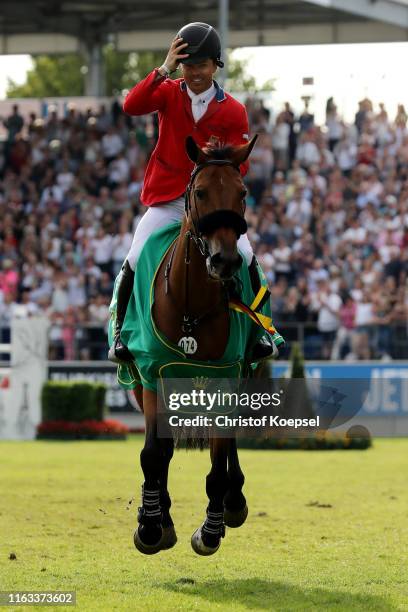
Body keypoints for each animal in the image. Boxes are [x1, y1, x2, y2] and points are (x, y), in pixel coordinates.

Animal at [132, 134, 262, 556]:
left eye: (242, 193)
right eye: (201, 191)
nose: (225, 261)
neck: (192, 307)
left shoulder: (225, 377)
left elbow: (218, 462)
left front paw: (210, 529)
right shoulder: (152, 375)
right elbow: (153, 454)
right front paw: (151, 525)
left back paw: (233, 503)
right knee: (162, 452)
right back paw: (159, 515)